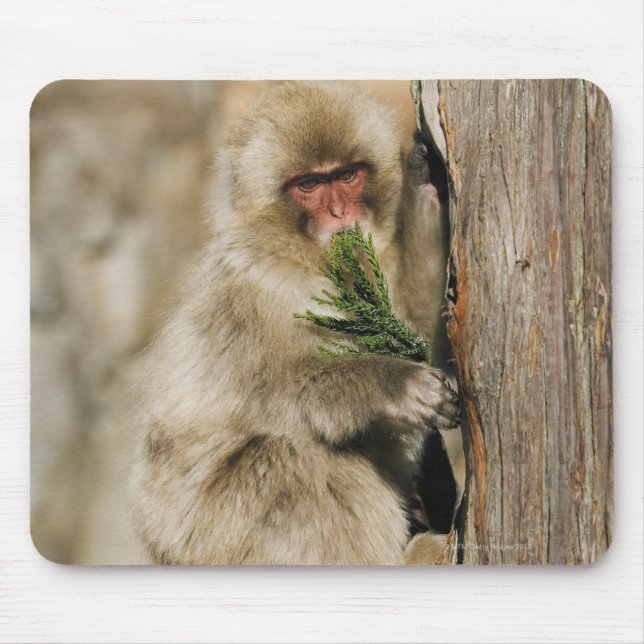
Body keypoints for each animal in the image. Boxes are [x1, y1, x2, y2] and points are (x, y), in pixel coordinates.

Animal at [129, 81, 460, 565]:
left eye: (346, 175)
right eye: (309, 185)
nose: (340, 213)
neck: (303, 258)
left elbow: (417, 334)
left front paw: (424, 186)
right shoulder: (260, 289)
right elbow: (277, 396)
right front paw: (391, 384)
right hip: (214, 536)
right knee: (295, 454)